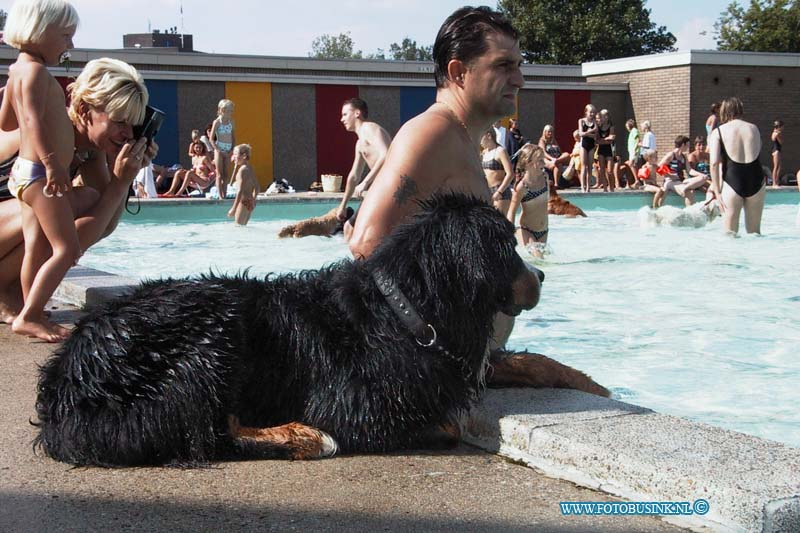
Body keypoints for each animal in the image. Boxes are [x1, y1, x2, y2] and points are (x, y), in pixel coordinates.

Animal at [32, 192, 544, 466]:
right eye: (507, 248)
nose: (539, 275)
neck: (404, 312)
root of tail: (68, 382)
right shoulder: (354, 408)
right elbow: (441, 425)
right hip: (210, 330)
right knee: (210, 431)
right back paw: (304, 436)